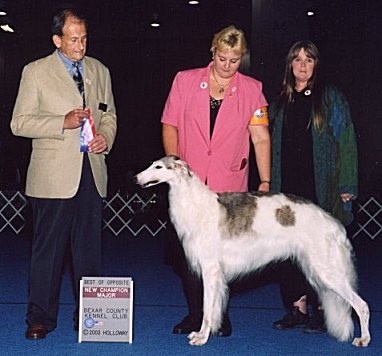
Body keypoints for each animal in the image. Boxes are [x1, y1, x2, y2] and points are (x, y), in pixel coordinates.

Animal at [135, 156, 370, 348]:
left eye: (158, 166)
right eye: (151, 164)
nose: (135, 178)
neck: (196, 204)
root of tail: (334, 224)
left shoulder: (210, 270)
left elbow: (207, 310)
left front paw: (201, 337)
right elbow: (213, 308)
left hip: (327, 271)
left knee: (362, 305)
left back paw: (364, 339)